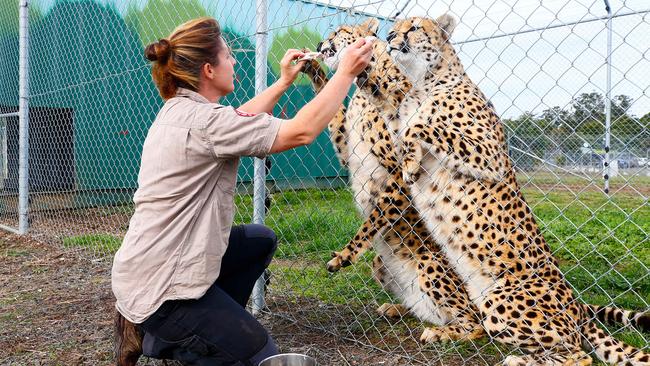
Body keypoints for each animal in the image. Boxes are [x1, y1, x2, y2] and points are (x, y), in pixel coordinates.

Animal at [302, 18, 484, 344]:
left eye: (337, 33)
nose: (322, 43)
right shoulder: (349, 152)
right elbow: (333, 116)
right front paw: (314, 69)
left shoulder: (400, 171)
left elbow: (373, 219)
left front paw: (345, 255)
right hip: (380, 264)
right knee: (425, 308)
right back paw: (397, 309)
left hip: (431, 264)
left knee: (474, 323)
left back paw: (441, 333)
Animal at [330, 15, 648, 366]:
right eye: (396, 27)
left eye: (413, 28)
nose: (388, 37)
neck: (424, 80)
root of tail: (576, 306)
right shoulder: (393, 118)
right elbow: (387, 105)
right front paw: (355, 65)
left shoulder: (486, 154)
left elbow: (422, 127)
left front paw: (411, 163)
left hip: (495, 301)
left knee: (575, 355)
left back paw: (504, 355)